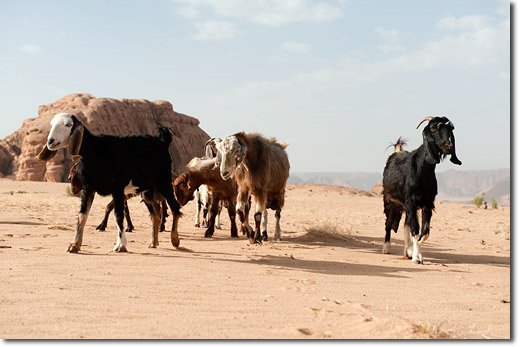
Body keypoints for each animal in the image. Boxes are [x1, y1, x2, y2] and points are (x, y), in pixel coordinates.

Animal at [37, 113, 182, 253]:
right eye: (51, 124)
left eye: (68, 124)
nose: (50, 141)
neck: (96, 151)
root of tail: (163, 142)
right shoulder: (88, 188)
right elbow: (82, 215)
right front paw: (75, 245)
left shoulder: (117, 189)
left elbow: (118, 216)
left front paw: (121, 245)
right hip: (146, 191)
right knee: (155, 215)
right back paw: (153, 242)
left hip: (164, 181)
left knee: (175, 208)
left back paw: (175, 240)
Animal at [380, 115, 462, 266]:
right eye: (434, 128)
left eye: (451, 128)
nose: (449, 146)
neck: (422, 171)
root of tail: (396, 152)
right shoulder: (411, 202)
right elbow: (415, 229)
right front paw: (416, 258)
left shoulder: (427, 204)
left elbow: (424, 232)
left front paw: (414, 252)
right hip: (389, 201)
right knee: (388, 223)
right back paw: (386, 248)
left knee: (405, 225)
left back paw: (406, 251)